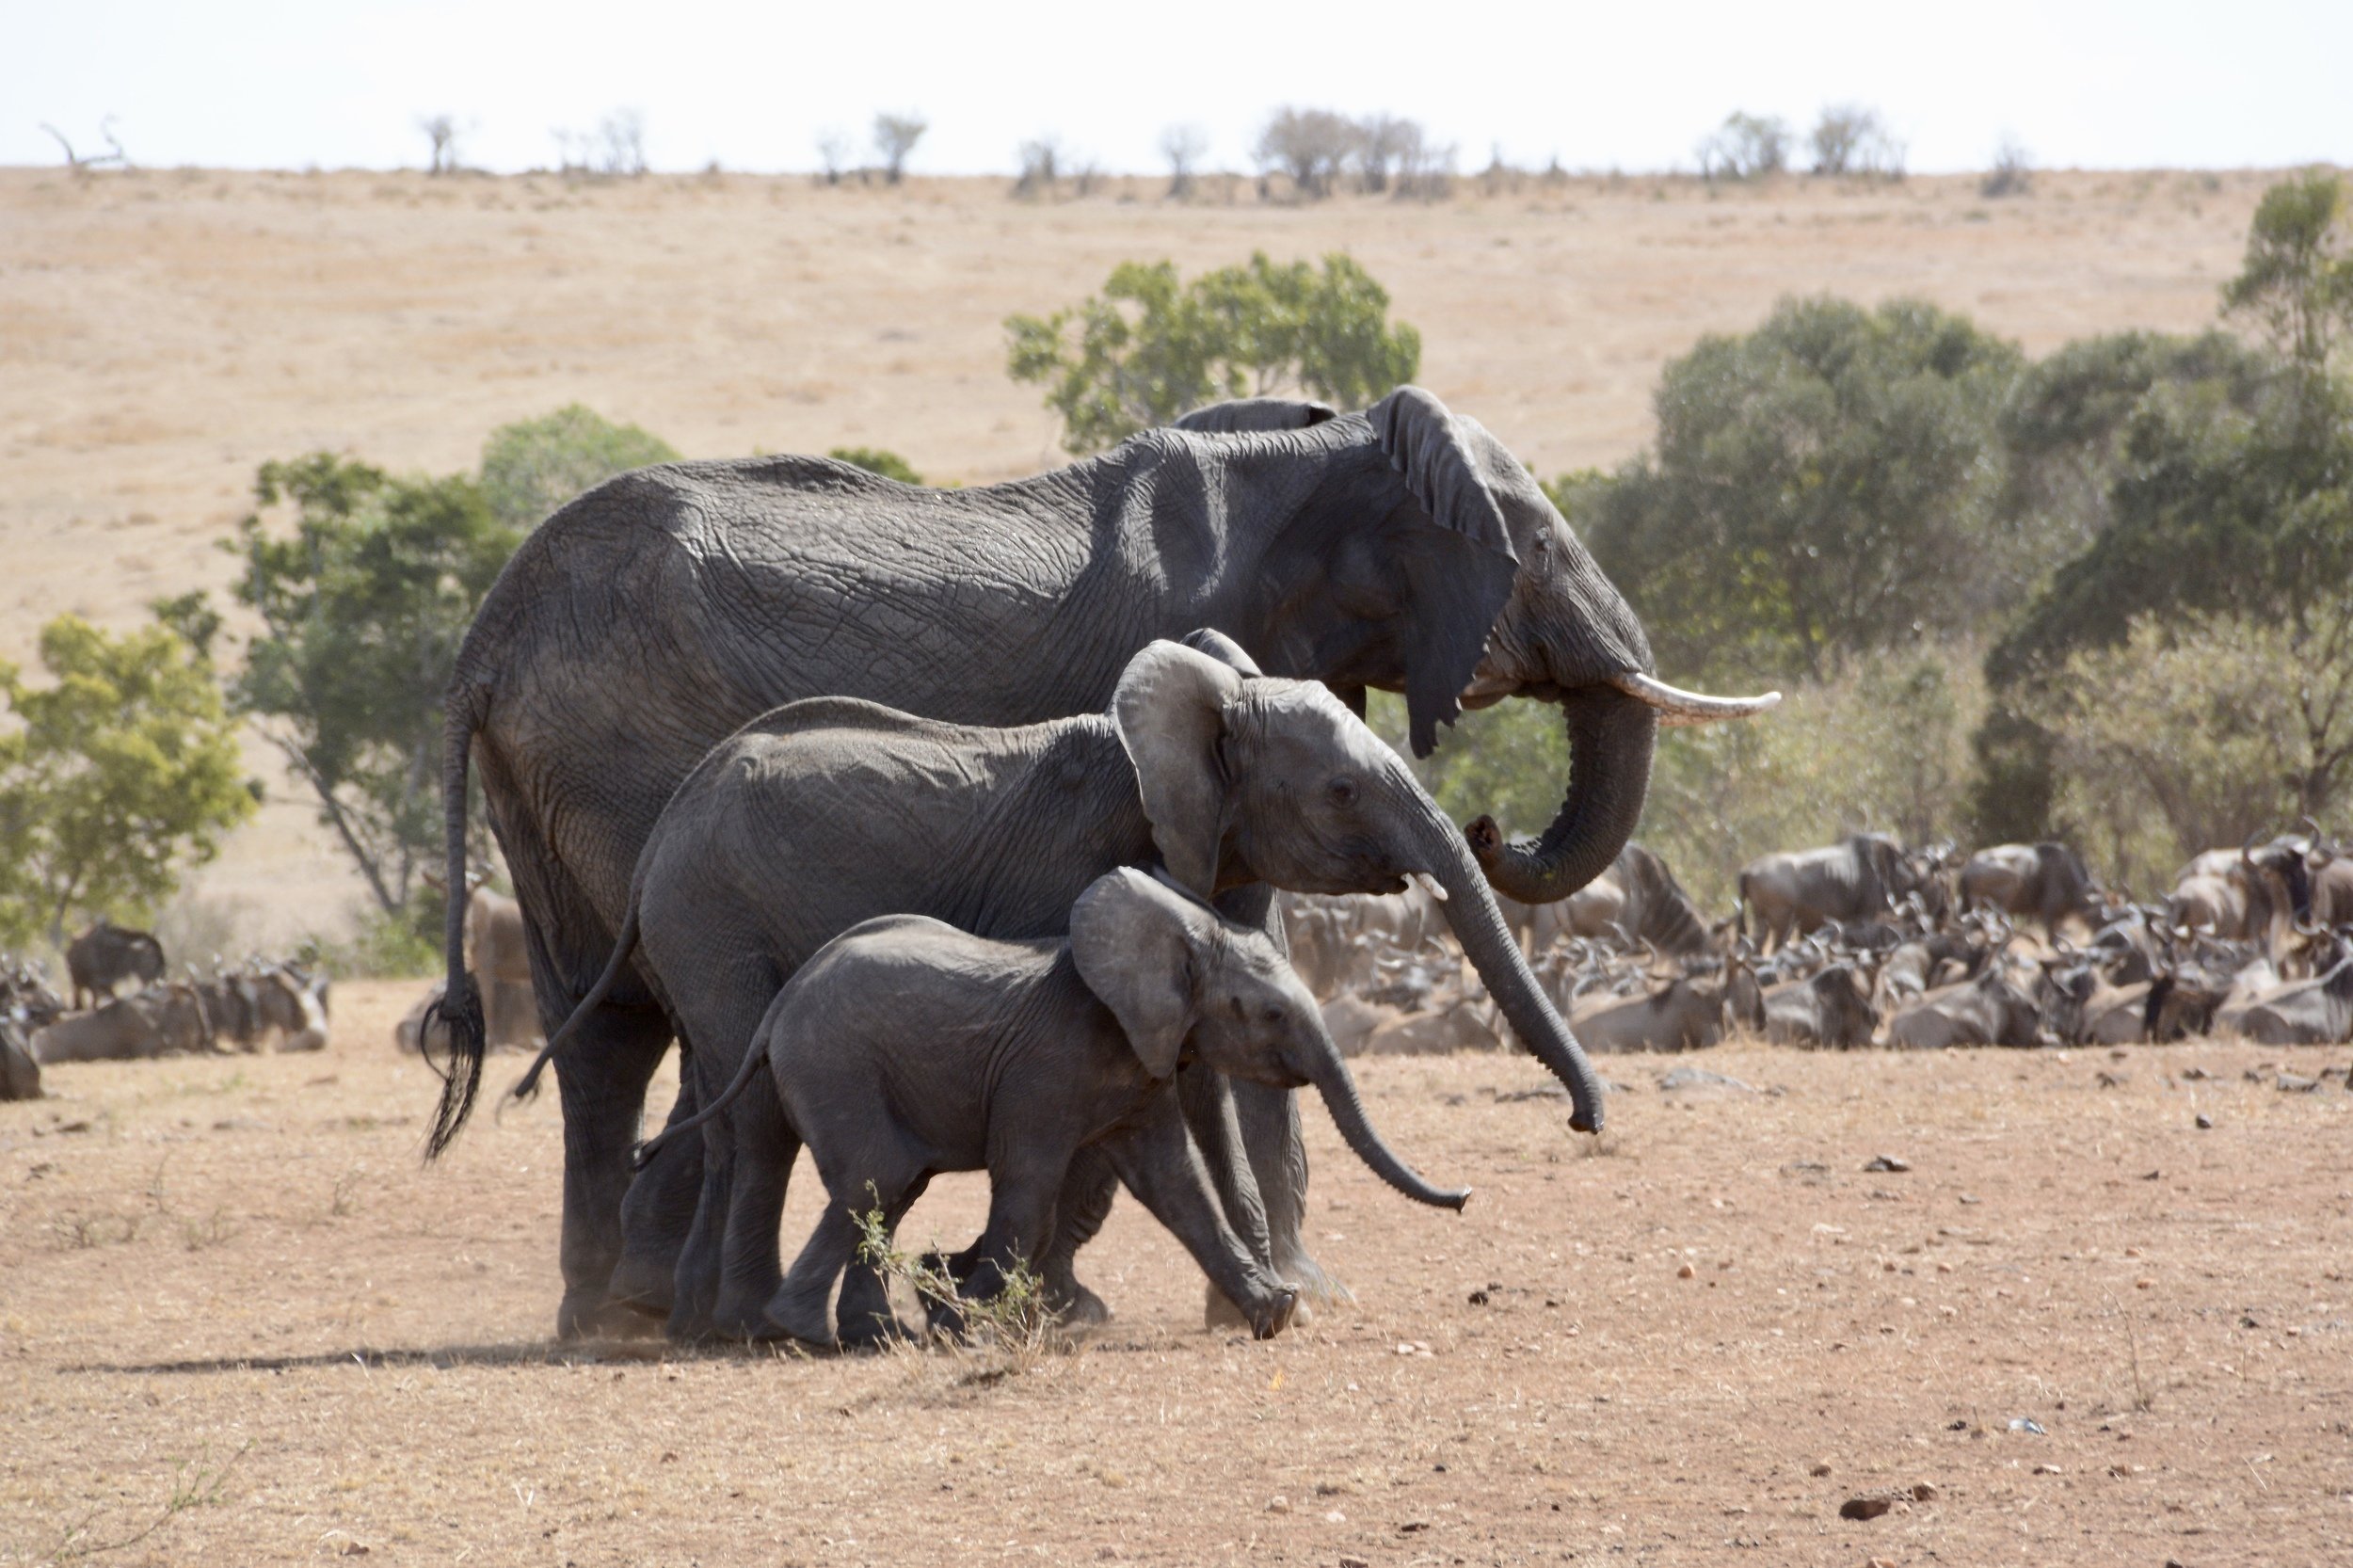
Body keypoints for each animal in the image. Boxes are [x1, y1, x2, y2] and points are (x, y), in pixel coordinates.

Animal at [635, 866, 1459, 1346]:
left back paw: (876, 1336)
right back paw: (808, 1332)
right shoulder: (1044, 1068)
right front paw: (964, 1323)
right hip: (836, 1065)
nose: (1464, 1198)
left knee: (891, 1188)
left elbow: (1178, 1189)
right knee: (878, 1176)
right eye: (1269, 1014)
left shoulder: (1143, 1067)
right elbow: (1029, 1192)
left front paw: (1275, 1316)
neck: (1175, 940)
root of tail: (781, 1006)